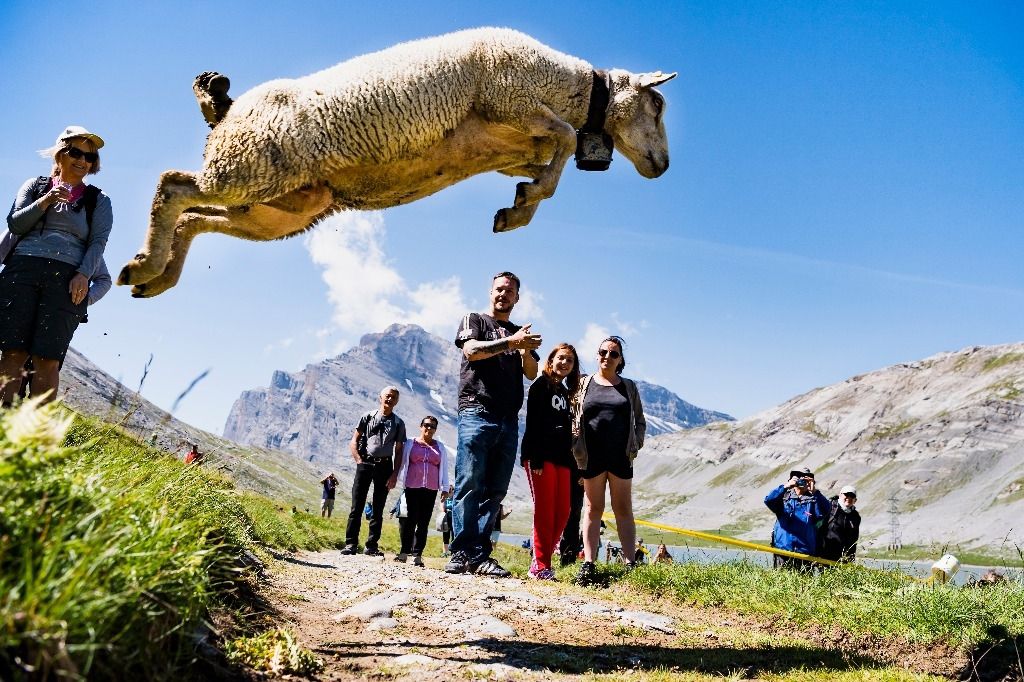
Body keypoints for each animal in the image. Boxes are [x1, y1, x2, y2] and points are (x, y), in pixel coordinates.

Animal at [118, 27, 675, 297]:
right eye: (658, 103)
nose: (664, 166)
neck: (569, 86)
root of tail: (226, 113)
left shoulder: (516, 144)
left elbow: (551, 159)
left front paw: (518, 206)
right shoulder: (509, 96)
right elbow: (562, 141)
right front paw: (522, 207)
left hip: (280, 206)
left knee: (193, 217)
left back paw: (154, 277)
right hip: (249, 165)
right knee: (173, 186)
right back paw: (146, 263)